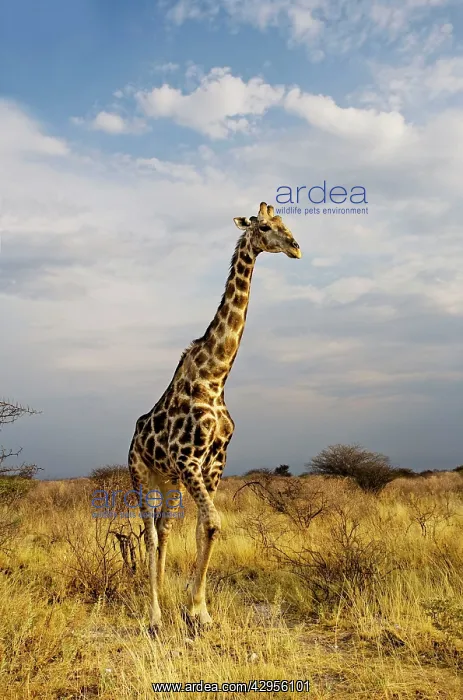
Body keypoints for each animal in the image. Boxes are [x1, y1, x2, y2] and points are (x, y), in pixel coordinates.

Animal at [128, 201, 302, 635]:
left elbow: (202, 528)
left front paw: (198, 611)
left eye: (286, 223)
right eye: (265, 226)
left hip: (169, 479)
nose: (296, 247)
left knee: (165, 527)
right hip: (141, 473)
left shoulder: (213, 463)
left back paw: (163, 599)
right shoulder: (189, 459)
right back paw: (154, 615)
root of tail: (134, 434)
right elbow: (212, 524)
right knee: (149, 532)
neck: (215, 377)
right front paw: (191, 609)